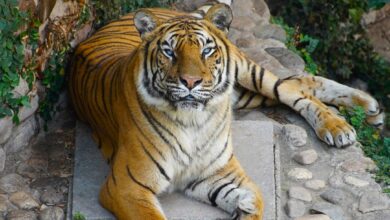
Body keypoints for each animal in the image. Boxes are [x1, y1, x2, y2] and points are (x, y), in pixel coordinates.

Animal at [68, 0, 384, 219]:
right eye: (169, 52)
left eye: (206, 50)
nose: (191, 82)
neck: (194, 121)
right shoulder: (127, 186)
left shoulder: (222, 172)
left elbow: (256, 202)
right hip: (247, 95)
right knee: (301, 81)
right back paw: (370, 109)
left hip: (249, 73)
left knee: (291, 89)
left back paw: (346, 123)